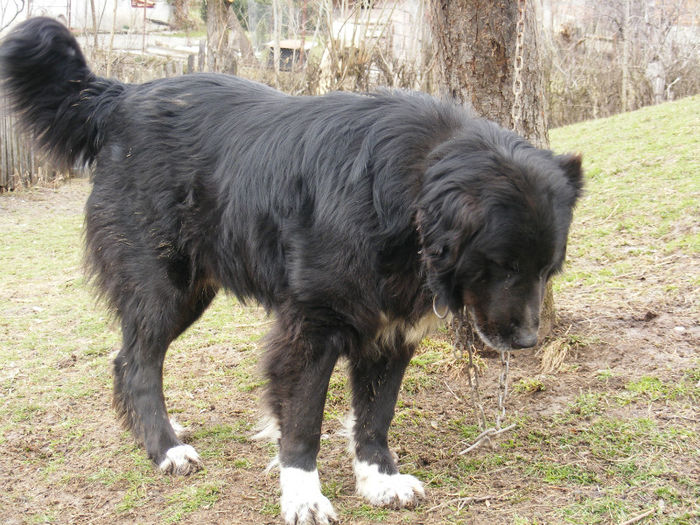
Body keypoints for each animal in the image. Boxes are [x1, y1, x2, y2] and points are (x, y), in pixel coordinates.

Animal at [1, 17, 580, 524]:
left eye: (548, 269)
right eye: (502, 266)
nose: (528, 341)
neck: (402, 201)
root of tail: (119, 97)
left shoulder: (391, 329)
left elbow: (377, 413)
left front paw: (379, 479)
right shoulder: (310, 328)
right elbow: (302, 422)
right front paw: (303, 497)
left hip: (193, 288)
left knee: (128, 360)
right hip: (164, 282)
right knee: (137, 361)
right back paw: (165, 449)